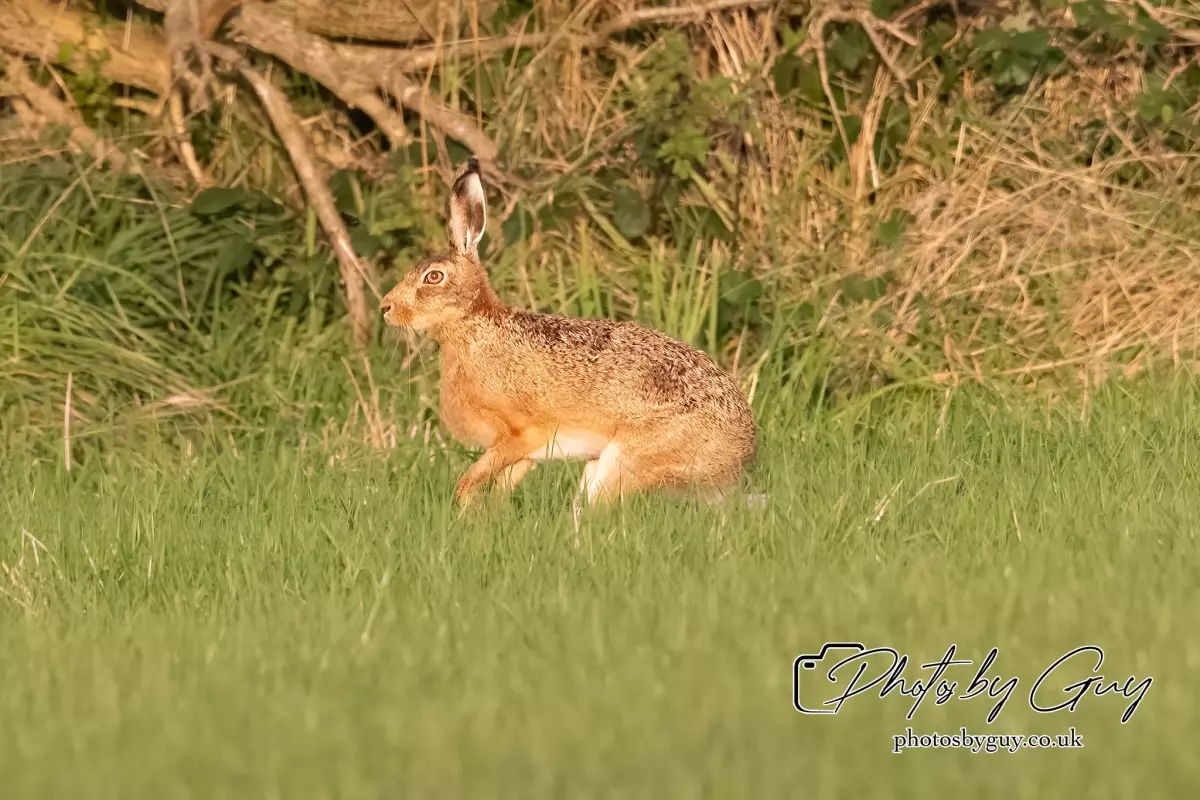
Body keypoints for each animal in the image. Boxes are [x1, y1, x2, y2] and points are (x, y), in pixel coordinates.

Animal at [380, 158, 757, 513]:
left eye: (433, 277)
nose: (386, 307)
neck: (472, 324)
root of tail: (738, 458)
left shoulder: (522, 432)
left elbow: (472, 480)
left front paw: (466, 512)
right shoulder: (526, 450)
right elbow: (502, 485)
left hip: (629, 460)